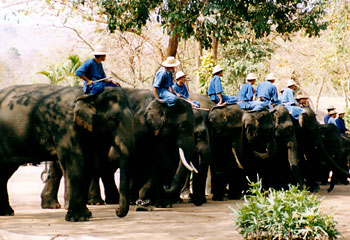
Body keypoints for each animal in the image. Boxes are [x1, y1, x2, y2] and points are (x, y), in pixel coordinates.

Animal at [0, 84, 134, 221]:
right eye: (114, 119)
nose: (117, 211)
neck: (87, 94)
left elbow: (90, 164)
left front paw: (86, 215)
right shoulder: (65, 125)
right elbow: (76, 160)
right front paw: (78, 218)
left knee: (5, 172)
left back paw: (6, 212)